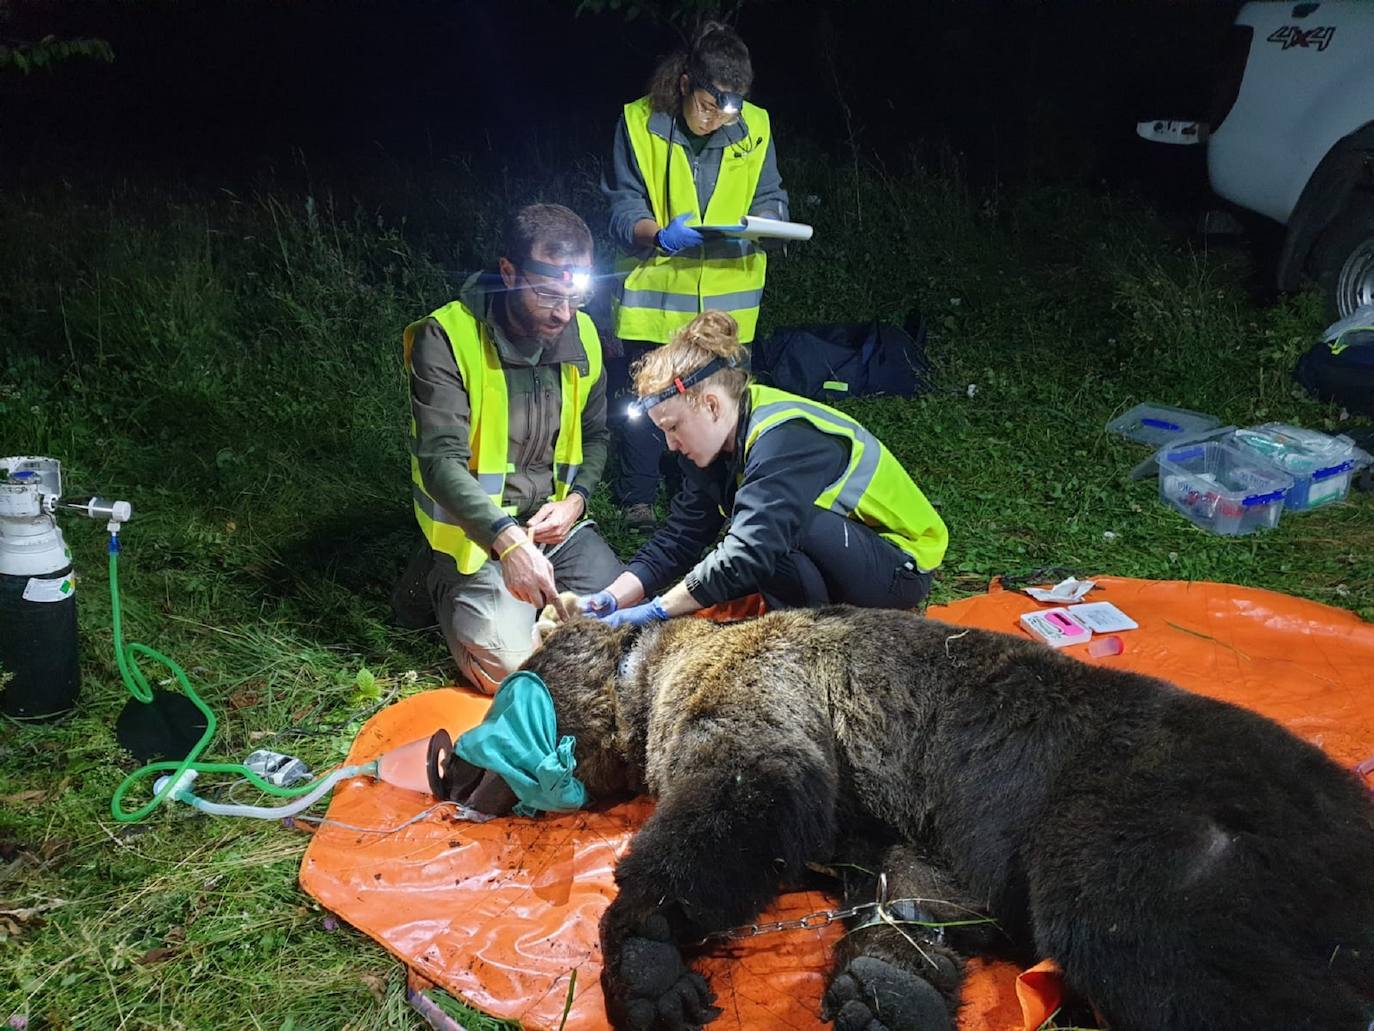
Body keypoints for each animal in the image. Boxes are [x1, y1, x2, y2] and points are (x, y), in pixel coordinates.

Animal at [513, 604, 1374, 1031]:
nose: (477, 774)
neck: (649, 674)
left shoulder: (759, 691)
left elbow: (742, 798)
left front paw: (648, 952)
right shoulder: (922, 826)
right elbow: (921, 890)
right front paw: (886, 990)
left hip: (1150, 837)